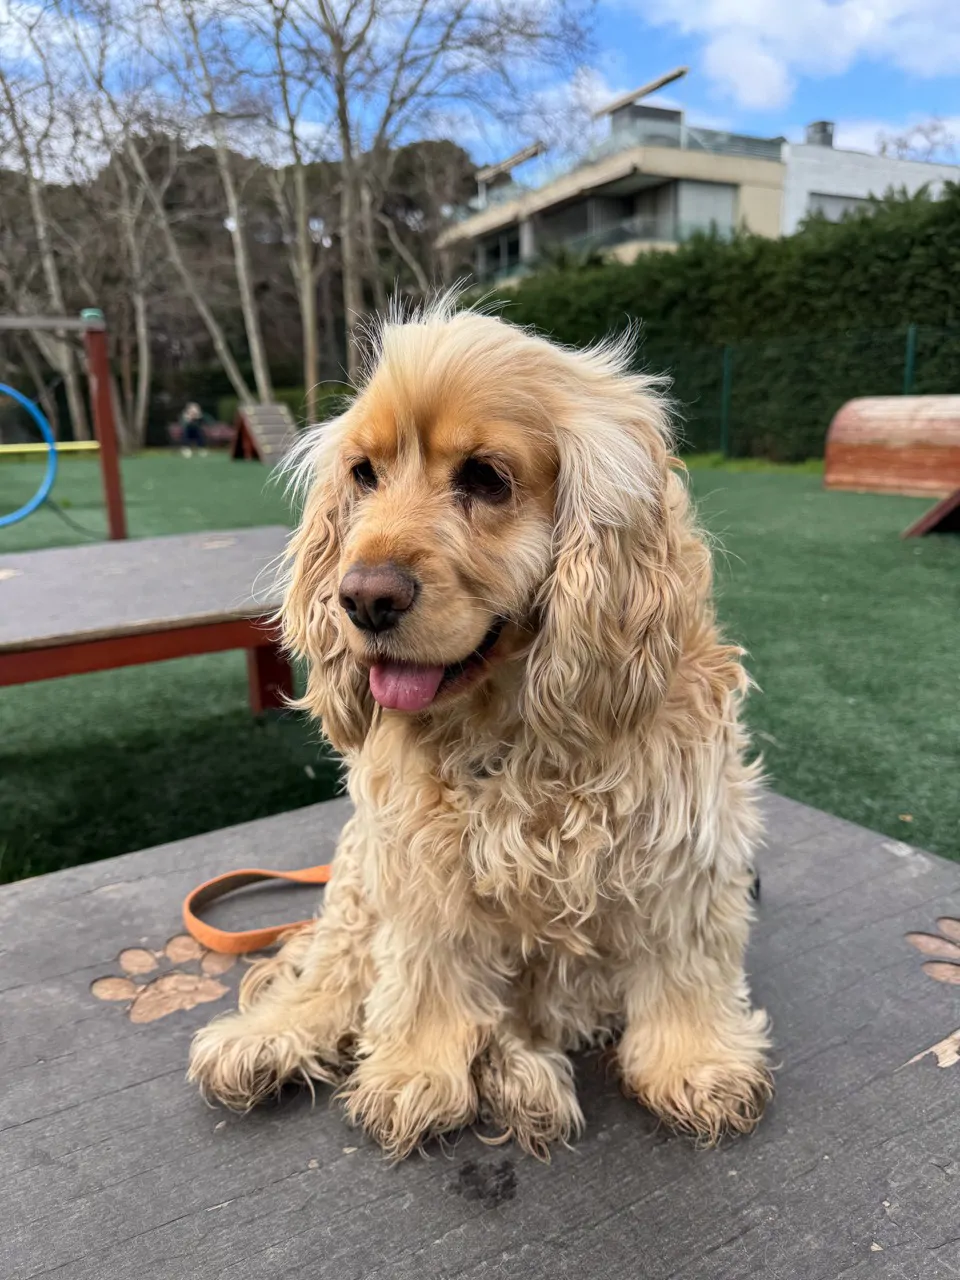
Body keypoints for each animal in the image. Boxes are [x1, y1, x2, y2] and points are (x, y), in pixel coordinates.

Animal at [189, 300, 773, 1159]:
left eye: (486, 479)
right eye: (363, 474)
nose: (361, 597)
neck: (511, 730)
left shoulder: (684, 846)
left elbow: (684, 963)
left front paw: (698, 1065)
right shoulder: (417, 863)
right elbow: (425, 970)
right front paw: (414, 1074)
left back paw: (521, 1080)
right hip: (358, 874)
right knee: (336, 968)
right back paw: (268, 1039)